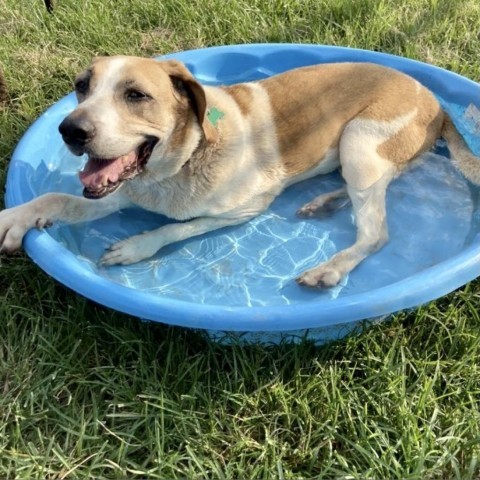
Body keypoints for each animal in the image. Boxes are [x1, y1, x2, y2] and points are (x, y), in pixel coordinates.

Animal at [0, 56, 478, 288]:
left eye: (135, 95)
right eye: (82, 87)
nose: (70, 130)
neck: (183, 161)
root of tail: (436, 102)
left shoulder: (244, 210)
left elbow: (177, 227)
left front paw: (136, 246)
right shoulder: (122, 190)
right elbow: (55, 198)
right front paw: (15, 217)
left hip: (359, 140)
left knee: (375, 233)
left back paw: (331, 269)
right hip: (361, 157)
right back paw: (323, 202)